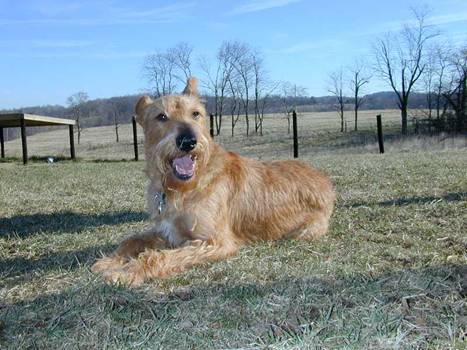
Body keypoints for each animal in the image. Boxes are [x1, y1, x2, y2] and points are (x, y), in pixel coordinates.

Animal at [91, 78, 334, 286]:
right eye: (161, 117)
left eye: (195, 114)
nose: (188, 141)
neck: (183, 187)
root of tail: (325, 180)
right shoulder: (169, 232)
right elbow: (133, 239)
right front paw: (110, 260)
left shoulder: (215, 242)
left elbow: (159, 257)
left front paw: (128, 271)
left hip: (305, 231)